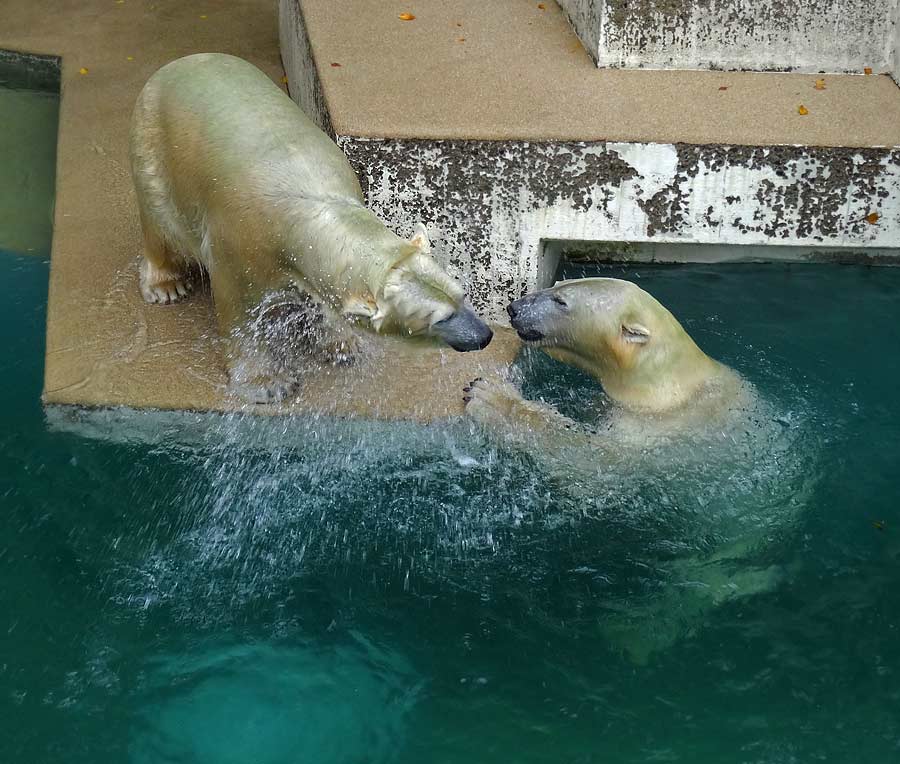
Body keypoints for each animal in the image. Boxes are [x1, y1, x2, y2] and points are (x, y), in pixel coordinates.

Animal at [130, 53, 492, 402]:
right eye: (439, 319)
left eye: (462, 295)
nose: (485, 336)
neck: (313, 205)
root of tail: (177, 63)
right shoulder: (238, 245)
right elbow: (239, 315)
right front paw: (267, 383)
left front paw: (343, 345)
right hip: (153, 145)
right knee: (160, 222)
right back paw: (166, 285)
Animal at [464, 278, 800, 660]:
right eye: (559, 283)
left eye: (562, 301)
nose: (514, 308)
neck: (666, 385)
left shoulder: (659, 434)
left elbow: (593, 466)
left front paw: (489, 397)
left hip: (728, 549)